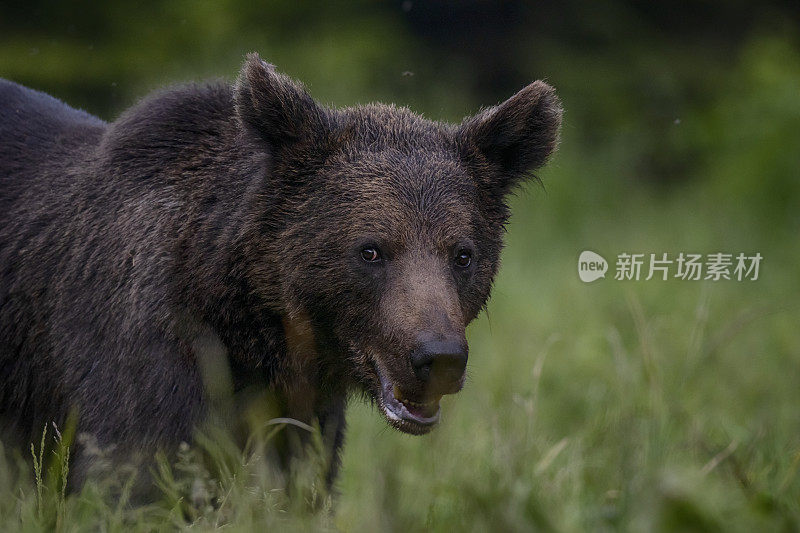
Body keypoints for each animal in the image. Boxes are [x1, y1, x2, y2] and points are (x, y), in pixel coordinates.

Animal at [0, 53, 564, 486]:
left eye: (462, 254)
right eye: (372, 250)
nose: (437, 357)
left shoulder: (299, 412)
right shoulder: (133, 352)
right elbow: (135, 472)